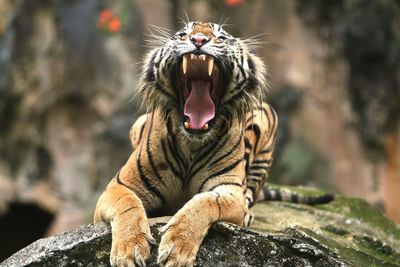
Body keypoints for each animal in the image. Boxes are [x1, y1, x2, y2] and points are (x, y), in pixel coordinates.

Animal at [94, 21, 328, 267]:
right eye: (183, 34)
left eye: (221, 37)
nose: (198, 39)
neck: (191, 143)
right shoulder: (118, 186)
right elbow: (128, 205)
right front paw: (129, 250)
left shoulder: (229, 190)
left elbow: (205, 203)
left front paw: (176, 249)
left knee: (251, 193)